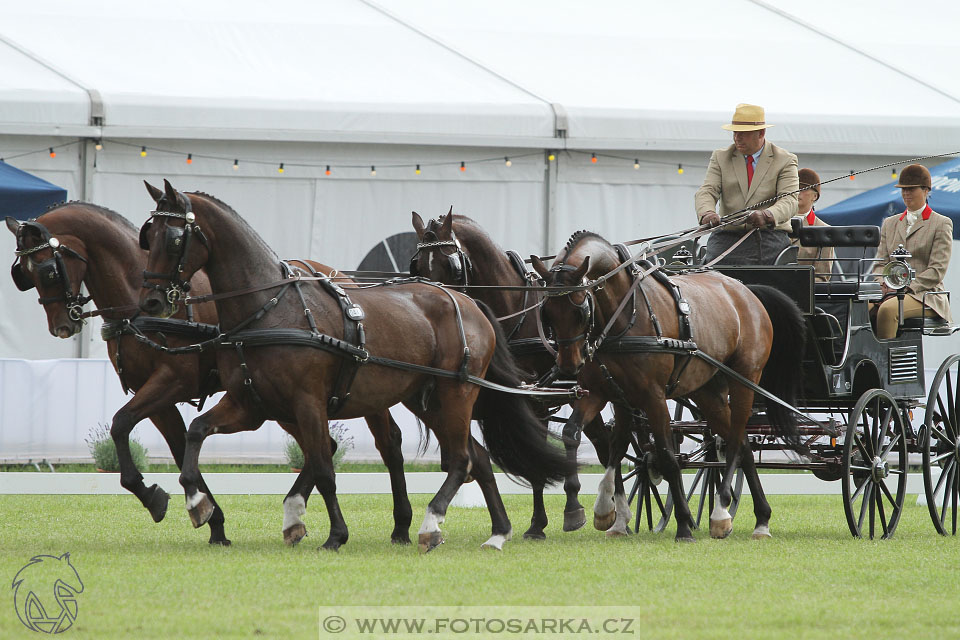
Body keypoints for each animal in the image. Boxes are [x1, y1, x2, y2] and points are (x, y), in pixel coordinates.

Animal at [6, 201, 412, 544]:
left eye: (48, 269)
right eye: (22, 273)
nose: (62, 325)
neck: (138, 298)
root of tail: (337, 277)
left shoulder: (172, 381)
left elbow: (121, 423)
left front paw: (163, 498)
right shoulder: (156, 395)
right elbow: (173, 443)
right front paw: (206, 515)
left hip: (361, 391)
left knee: (387, 443)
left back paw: (401, 524)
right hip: (284, 401)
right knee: (324, 446)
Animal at [135, 179, 568, 552]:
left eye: (174, 238)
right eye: (147, 236)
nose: (152, 300)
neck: (270, 308)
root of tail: (468, 302)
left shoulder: (307, 402)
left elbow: (325, 469)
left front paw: (335, 534)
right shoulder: (251, 405)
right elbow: (196, 431)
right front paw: (198, 503)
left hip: (456, 392)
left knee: (461, 459)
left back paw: (432, 523)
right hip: (427, 400)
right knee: (476, 457)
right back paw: (498, 531)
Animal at [408, 211, 612, 540]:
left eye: (451, 265)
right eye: (416, 265)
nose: (429, 299)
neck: (517, 315)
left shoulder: (535, 400)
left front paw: (566, 512)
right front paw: (537, 524)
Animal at [528, 230, 808, 540]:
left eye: (580, 309)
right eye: (547, 312)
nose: (568, 365)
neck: (625, 315)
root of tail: (746, 291)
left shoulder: (653, 397)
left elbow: (665, 455)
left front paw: (683, 524)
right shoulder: (607, 394)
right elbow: (591, 440)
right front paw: (603, 512)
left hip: (745, 381)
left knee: (735, 441)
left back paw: (721, 511)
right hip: (707, 392)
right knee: (744, 445)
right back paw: (761, 519)